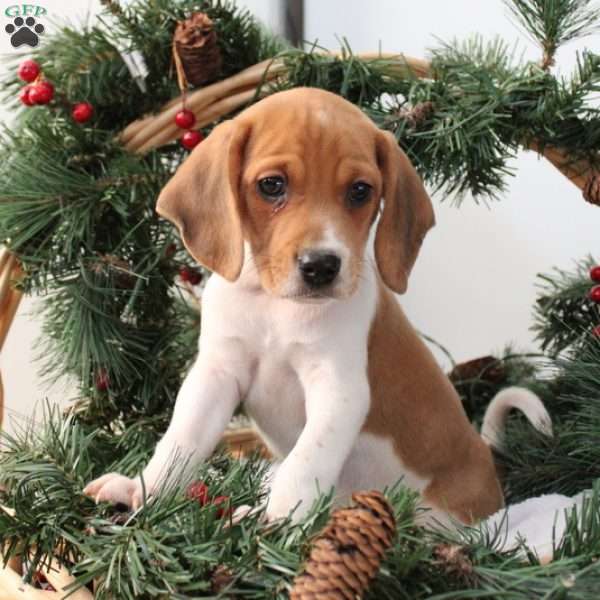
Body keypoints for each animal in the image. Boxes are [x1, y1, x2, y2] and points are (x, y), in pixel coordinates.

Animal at [83, 89, 548, 524]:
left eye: (360, 191)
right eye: (272, 185)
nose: (321, 265)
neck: (275, 307)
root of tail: (486, 464)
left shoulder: (338, 388)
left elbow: (304, 463)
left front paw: (280, 522)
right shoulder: (216, 375)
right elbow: (180, 441)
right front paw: (144, 491)